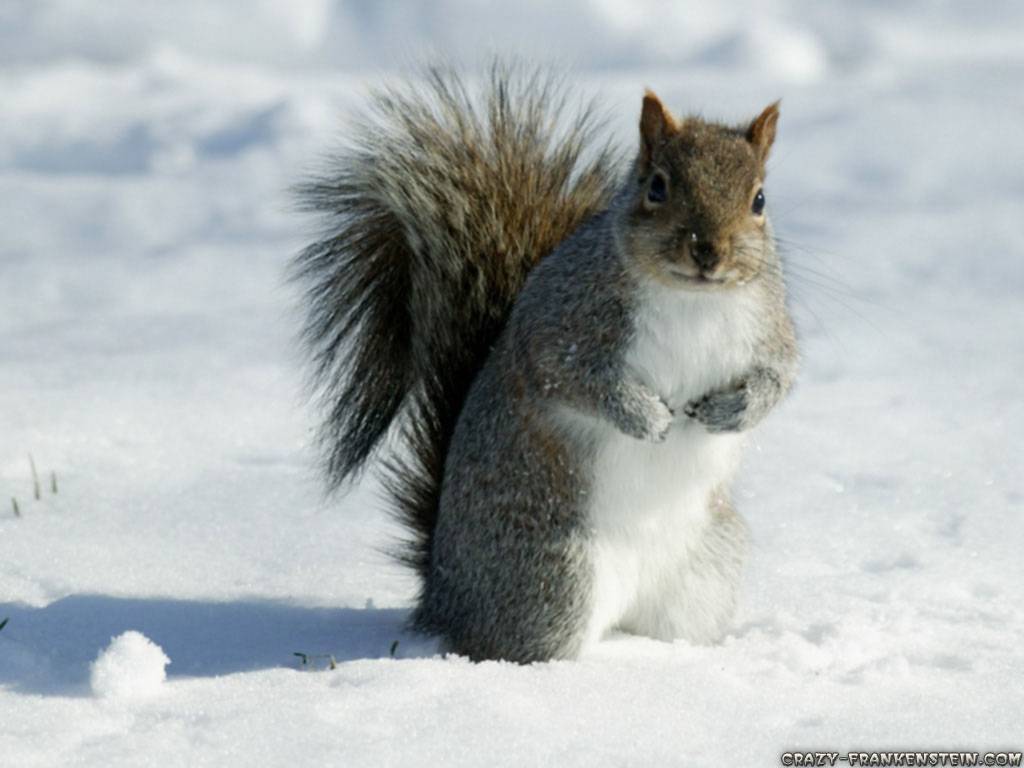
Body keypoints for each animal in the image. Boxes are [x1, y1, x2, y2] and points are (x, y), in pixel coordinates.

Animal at [294, 63, 798, 663]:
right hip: (549, 575)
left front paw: (736, 409)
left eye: (760, 199)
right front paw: (643, 416)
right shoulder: (559, 325)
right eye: (657, 186)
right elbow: (566, 376)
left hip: (706, 570)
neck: (691, 298)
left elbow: (781, 376)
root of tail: (441, 593)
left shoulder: (770, 328)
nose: (708, 251)